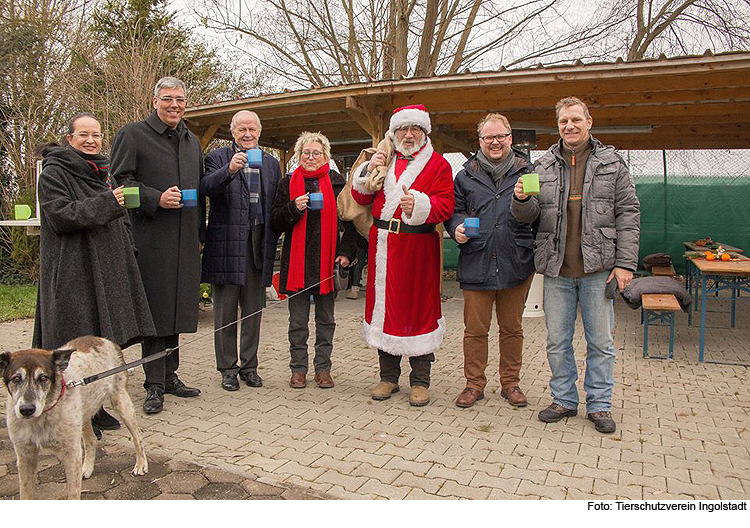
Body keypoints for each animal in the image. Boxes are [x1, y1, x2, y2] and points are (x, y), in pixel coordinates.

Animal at [1, 336, 148, 498]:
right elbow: (25, 495)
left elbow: (73, 494)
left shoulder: (72, 455)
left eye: (43, 378)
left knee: (137, 436)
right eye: (16, 379)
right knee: (91, 440)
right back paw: (87, 468)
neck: (41, 417)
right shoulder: (25, 456)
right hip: (83, 415)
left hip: (121, 402)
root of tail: (105, 339)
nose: (26, 410)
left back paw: (141, 464)